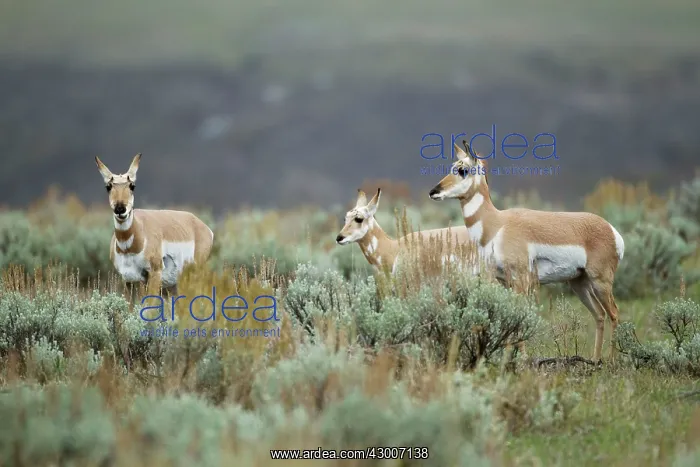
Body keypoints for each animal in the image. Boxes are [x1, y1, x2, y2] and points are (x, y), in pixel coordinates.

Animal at [94, 153, 214, 297]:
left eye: (132, 186)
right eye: (108, 186)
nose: (120, 209)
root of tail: (201, 224)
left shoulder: (154, 274)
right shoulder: (129, 280)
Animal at [428, 141, 625, 362]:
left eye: (463, 170)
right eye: (452, 166)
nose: (433, 192)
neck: (497, 225)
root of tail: (611, 229)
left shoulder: (521, 280)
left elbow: (519, 318)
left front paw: (521, 360)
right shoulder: (504, 282)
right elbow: (509, 316)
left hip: (601, 282)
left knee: (614, 313)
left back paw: (611, 360)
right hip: (579, 283)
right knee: (599, 314)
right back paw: (595, 360)